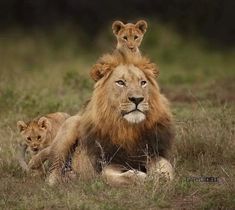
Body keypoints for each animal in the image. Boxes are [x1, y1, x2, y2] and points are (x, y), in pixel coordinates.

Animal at [31, 53, 173, 185]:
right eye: (120, 82)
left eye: (143, 82)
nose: (137, 99)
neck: (128, 129)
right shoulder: (106, 163)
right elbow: (121, 176)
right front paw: (145, 178)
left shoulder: (152, 154)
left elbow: (168, 169)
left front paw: (160, 177)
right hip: (70, 126)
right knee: (52, 174)